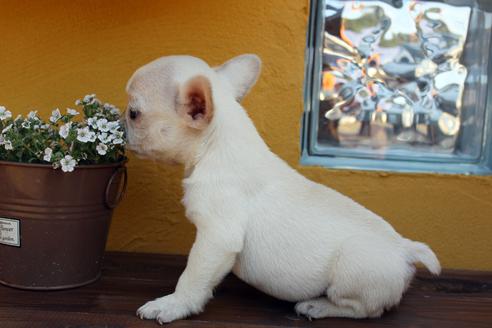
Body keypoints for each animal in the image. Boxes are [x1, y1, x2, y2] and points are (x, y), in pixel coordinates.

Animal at [125, 55, 440, 324]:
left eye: (134, 114)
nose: (121, 121)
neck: (215, 145)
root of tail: (405, 249)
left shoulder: (217, 236)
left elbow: (192, 276)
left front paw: (173, 304)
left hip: (354, 266)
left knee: (364, 309)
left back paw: (318, 305)